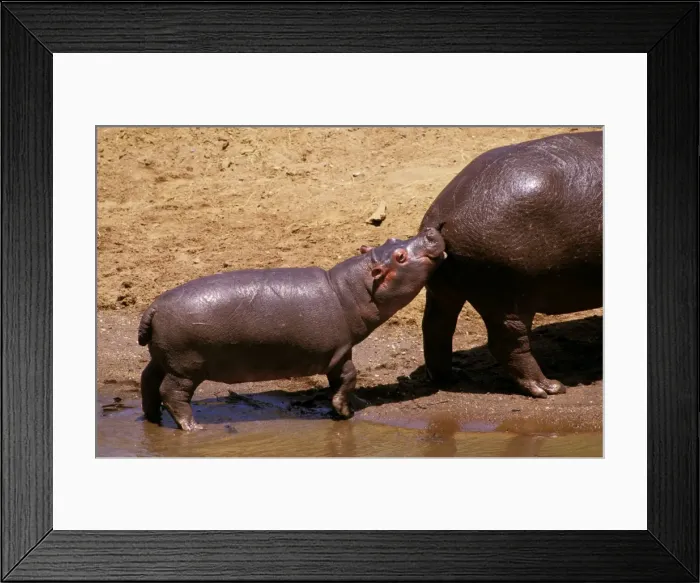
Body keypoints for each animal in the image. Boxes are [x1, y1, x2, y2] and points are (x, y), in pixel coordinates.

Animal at [137, 227, 446, 430]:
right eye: (400, 256)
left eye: (392, 238)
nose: (430, 231)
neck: (350, 290)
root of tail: (153, 307)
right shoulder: (340, 349)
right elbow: (348, 376)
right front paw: (345, 412)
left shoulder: (336, 352)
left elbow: (340, 380)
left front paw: (354, 403)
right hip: (185, 368)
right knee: (172, 394)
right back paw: (192, 427)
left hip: (164, 358)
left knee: (148, 380)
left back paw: (153, 418)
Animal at [419, 130, 602, 398]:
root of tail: (442, 214)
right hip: (509, 296)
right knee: (508, 342)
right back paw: (549, 388)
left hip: (444, 290)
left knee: (436, 328)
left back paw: (448, 378)